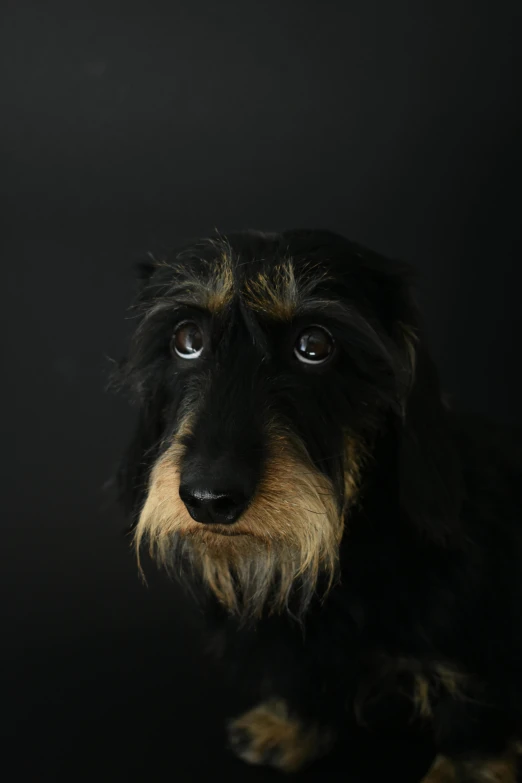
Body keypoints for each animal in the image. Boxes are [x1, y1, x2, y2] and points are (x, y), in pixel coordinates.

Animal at [115, 230, 520, 780]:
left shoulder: (478, 657)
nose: (208, 499)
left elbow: (471, 723)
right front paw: (290, 723)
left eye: (315, 346)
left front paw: (464, 771)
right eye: (186, 339)